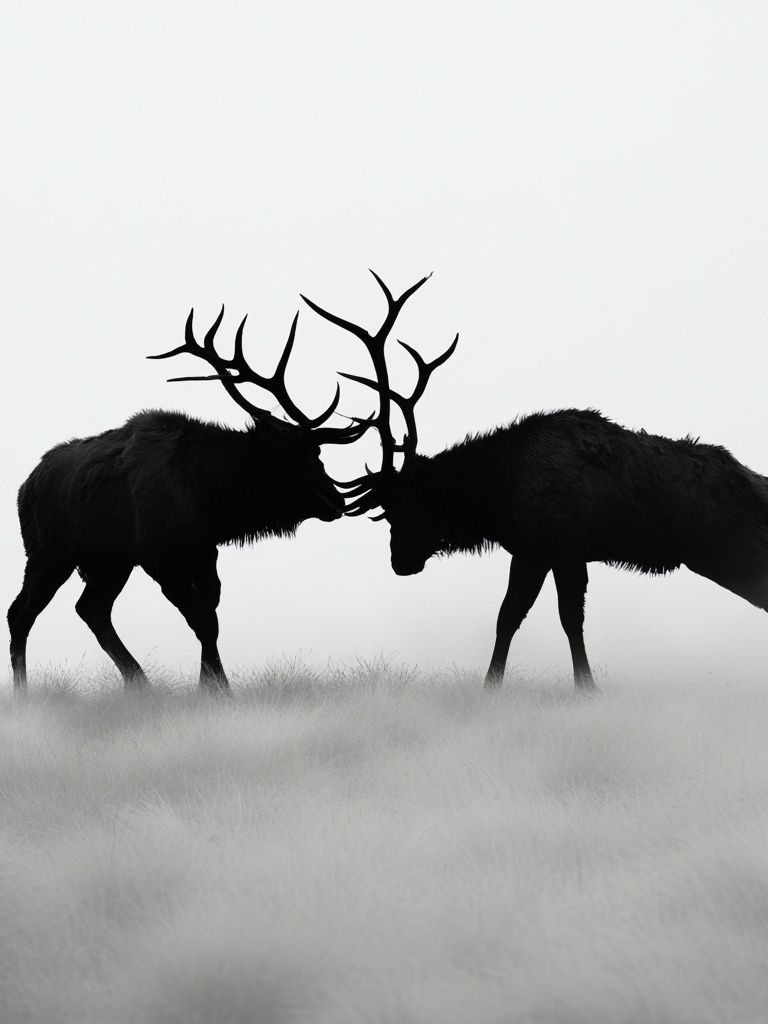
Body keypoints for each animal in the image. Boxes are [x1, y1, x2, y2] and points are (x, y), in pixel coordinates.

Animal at [8, 306, 367, 693]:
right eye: (304, 455)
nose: (337, 501)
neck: (210, 495)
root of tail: (24, 487)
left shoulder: (203, 549)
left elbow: (210, 614)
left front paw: (210, 682)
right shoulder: (160, 554)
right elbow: (202, 619)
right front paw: (218, 689)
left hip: (111, 561)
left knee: (91, 608)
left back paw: (139, 683)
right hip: (49, 553)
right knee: (22, 612)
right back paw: (24, 691)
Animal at [302, 271, 768, 690]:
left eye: (409, 504)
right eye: (384, 512)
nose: (400, 561)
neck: (501, 493)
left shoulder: (564, 543)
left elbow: (568, 618)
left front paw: (587, 688)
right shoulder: (530, 550)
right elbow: (507, 617)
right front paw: (490, 687)